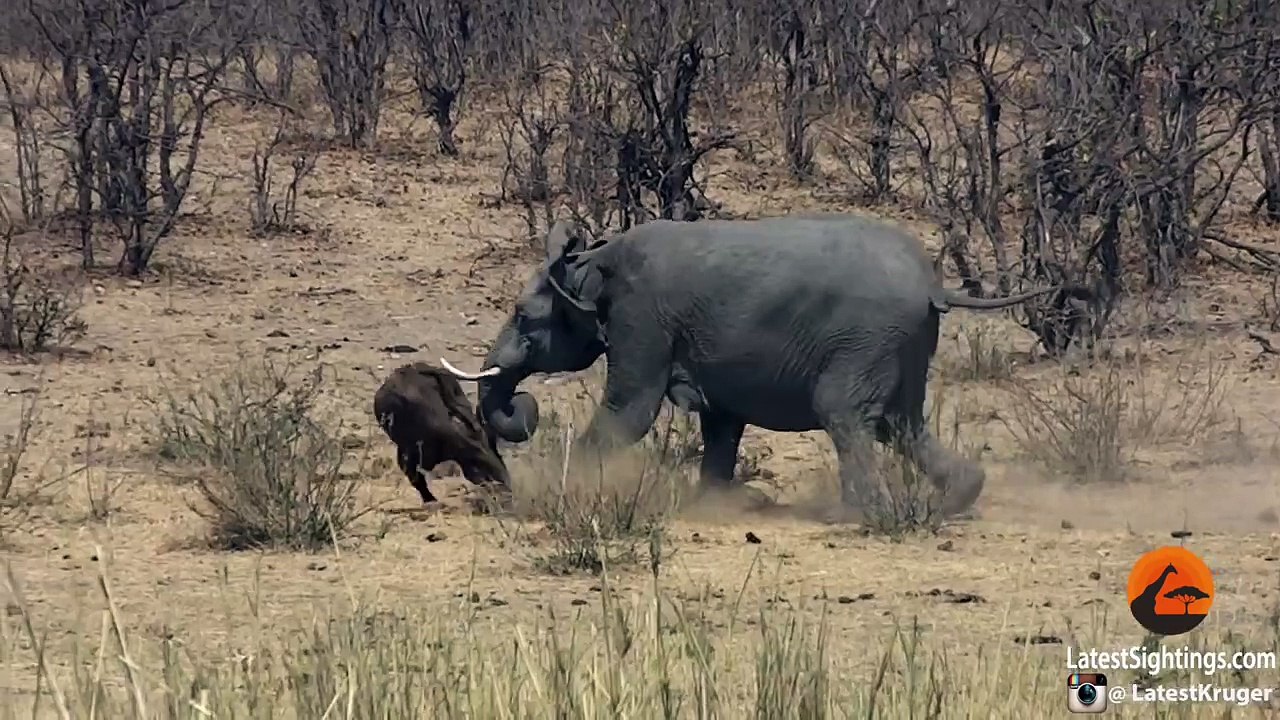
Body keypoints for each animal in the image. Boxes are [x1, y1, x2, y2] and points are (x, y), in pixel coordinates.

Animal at [441, 213, 1062, 516]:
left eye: (523, 316)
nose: (522, 404)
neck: (596, 257)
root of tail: (934, 284)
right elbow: (721, 420)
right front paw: (722, 503)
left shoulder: (643, 320)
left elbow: (630, 411)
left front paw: (563, 491)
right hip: (903, 342)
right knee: (902, 424)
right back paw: (957, 499)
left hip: (866, 338)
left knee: (847, 415)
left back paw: (860, 514)